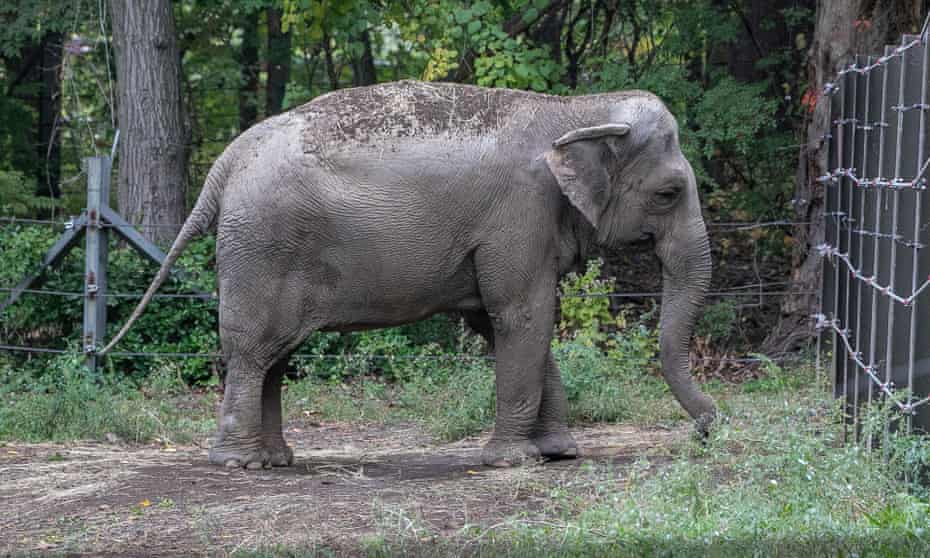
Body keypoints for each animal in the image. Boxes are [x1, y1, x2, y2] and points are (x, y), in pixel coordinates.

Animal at [102, 80, 716, 469]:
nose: (709, 429)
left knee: (275, 356)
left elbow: (503, 322)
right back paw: (240, 465)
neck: (575, 110)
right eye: (668, 193)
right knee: (253, 350)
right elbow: (524, 315)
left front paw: (559, 452)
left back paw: (276, 459)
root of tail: (225, 163)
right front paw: (513, 461)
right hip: (261, 248)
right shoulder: (519, 216)